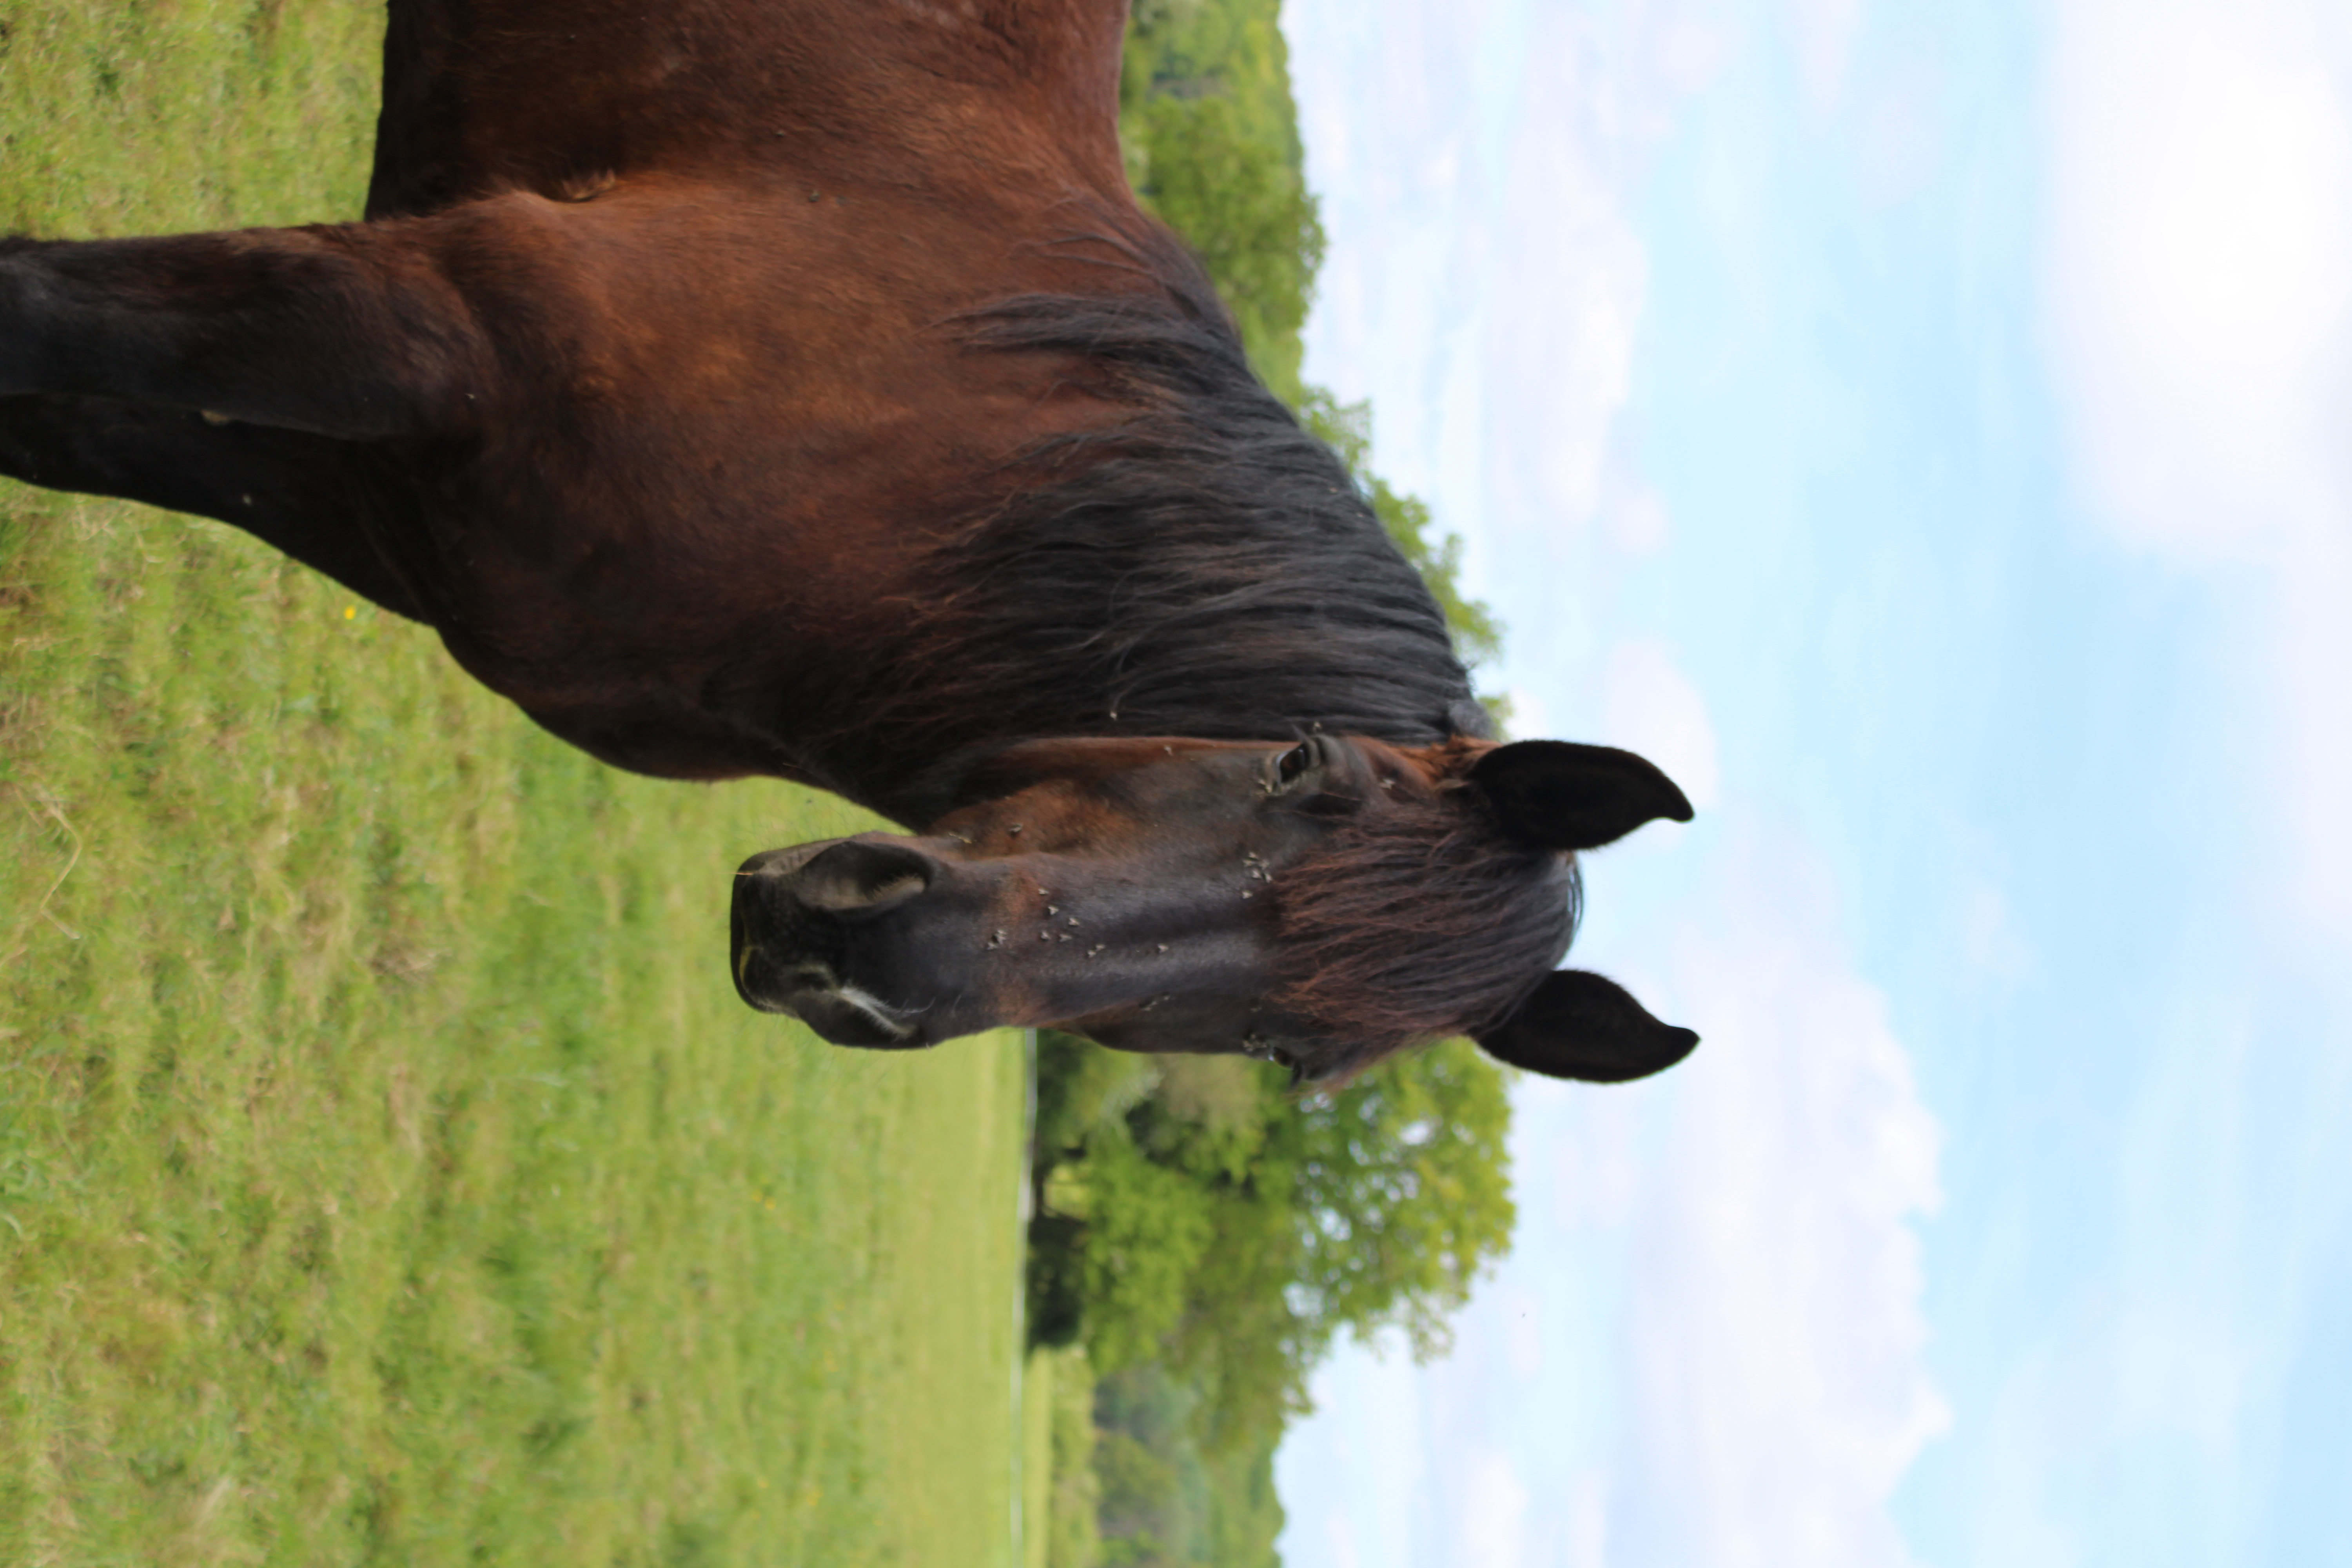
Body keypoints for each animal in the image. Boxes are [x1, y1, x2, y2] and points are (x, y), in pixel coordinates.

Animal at [0, 0, 1699, 1087]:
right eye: (1301, 768)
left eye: (1294, 1053)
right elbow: (44, 313)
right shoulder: (425, 324)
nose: (871, 964)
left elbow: (60, 420)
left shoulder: (374, 511)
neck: (931, 467)